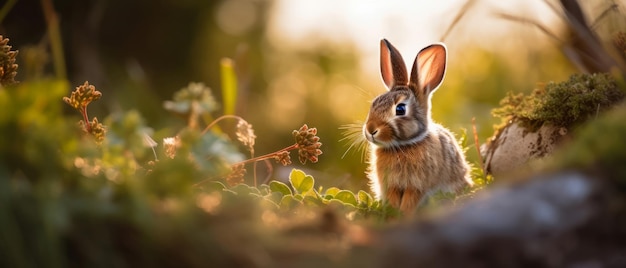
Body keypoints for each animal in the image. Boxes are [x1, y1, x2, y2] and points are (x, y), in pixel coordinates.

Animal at [364, 39, 470, 215]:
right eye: (373, 104)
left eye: (400, 109)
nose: (370, 130)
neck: (403, 146)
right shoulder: (392, 187)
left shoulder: (417, 187)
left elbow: (410, 201)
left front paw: (404, 215)